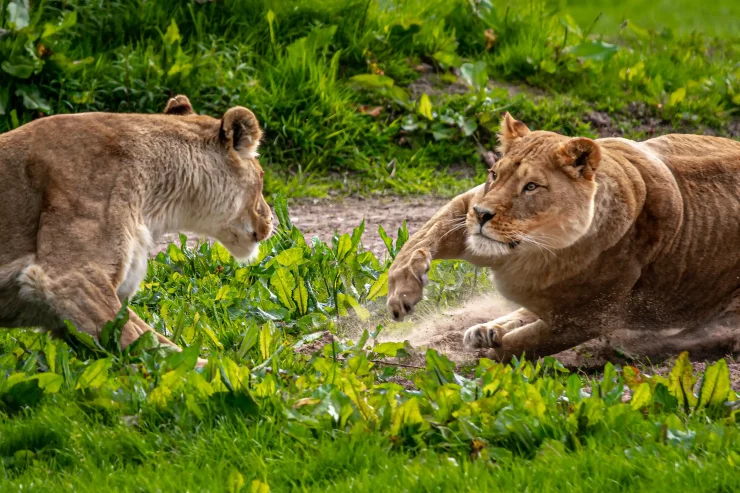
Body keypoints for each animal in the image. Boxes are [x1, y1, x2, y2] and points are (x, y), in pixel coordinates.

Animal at [387, 113, 740, 361]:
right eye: (494, 174)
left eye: (531, 186)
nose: (483, 215)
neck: (535, 250)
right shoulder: (466, 206)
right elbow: (417, 241)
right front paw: (402, 296)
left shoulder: (587, 319)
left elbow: (528, 344)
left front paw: (492, 357)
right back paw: (487, 328)